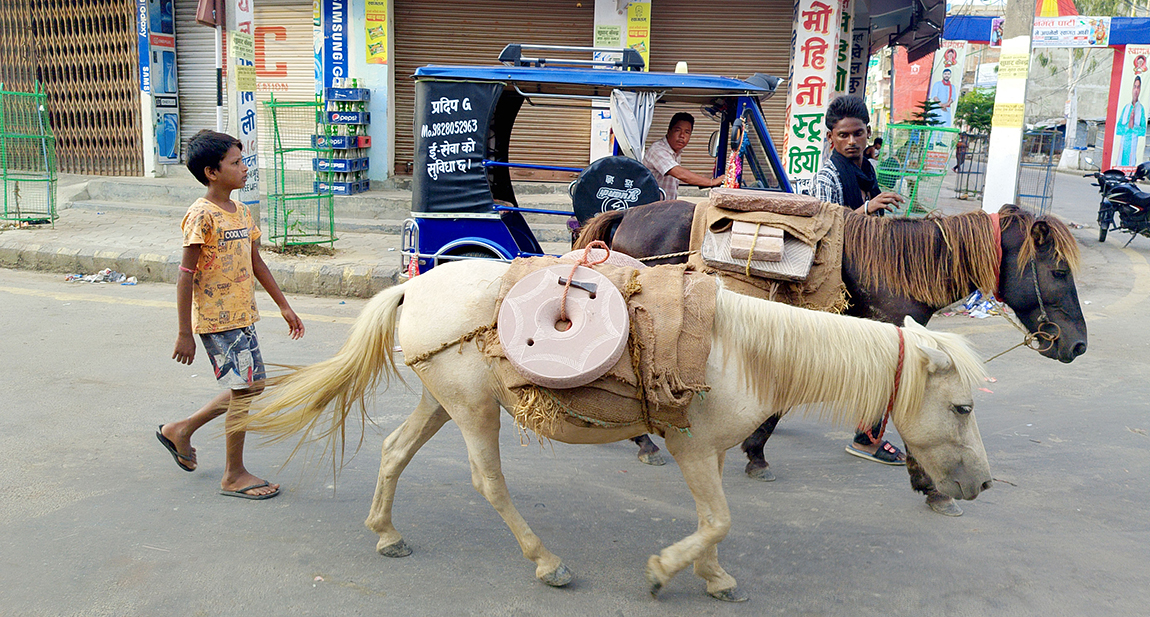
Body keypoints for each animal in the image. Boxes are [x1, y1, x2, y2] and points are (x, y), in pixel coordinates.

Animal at [247, 259, 993, 602]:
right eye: (962, 408)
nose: (981, 485)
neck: (747, 348)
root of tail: (415, 286)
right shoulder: (691, 445)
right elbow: (717, 519)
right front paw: (666, 572)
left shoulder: (707, 451)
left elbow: (715, 521)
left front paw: (712, 577)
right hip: (472, 409)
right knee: (489, 481)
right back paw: (547, 562)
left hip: (443, 401)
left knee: (395, 451)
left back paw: (386, 533)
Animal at [575, 201, 1085, 514]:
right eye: (1059, 270)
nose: (1076, 345)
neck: (896, 266)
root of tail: (627, 213)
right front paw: (931, 488)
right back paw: (643, 442)